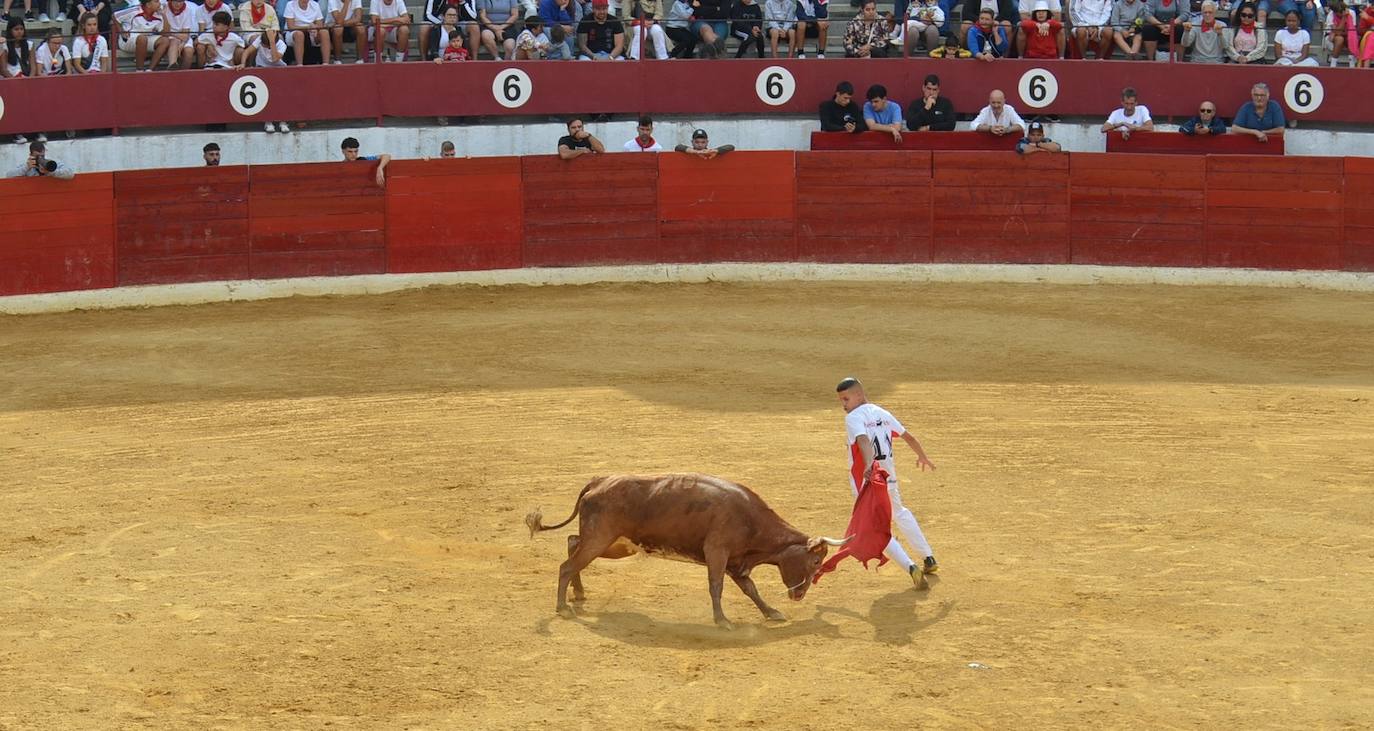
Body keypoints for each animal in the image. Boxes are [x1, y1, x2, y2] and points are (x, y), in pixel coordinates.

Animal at [524, 473, 851, 629]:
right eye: (816, 559)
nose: (799, 594)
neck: (751, 519)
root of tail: (598, 481)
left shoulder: (736, 563)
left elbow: (751, 590)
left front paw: (772, 613)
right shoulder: (717, 552)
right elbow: (716, 586)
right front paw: (723, 621)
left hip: (614, 544)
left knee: (572, 543)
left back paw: (578, 593)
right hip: (600, 538)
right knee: (568, 564)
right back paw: (563, 606)